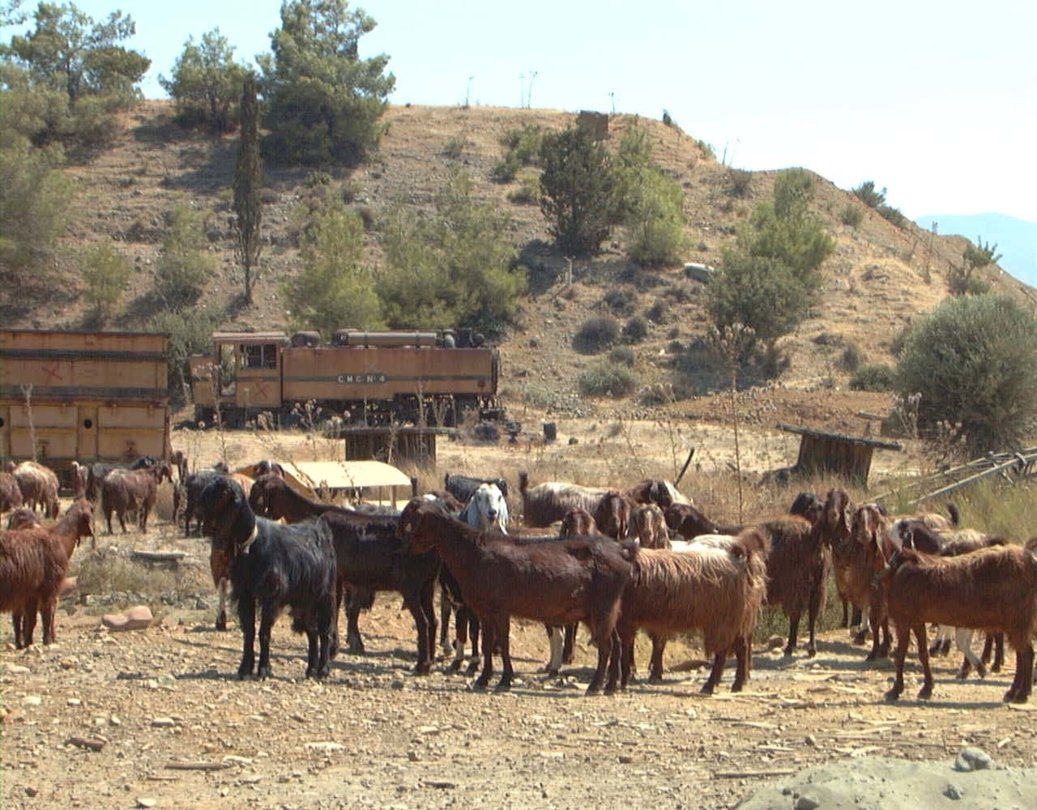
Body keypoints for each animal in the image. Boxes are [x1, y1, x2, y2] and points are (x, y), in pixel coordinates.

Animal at [198, 477, 335, 680]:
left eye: (221, 495)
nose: (203, 523)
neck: (251, 545)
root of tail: (318, 528)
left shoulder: (271, 595)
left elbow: (264, 632)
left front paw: (264, 669)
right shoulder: (245, 594)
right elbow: (249, 631)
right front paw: (245, 669)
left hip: (325, 596)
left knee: (325, 632)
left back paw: (323, 670)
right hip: (303, 603)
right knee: (312, 631)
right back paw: (310, 669)